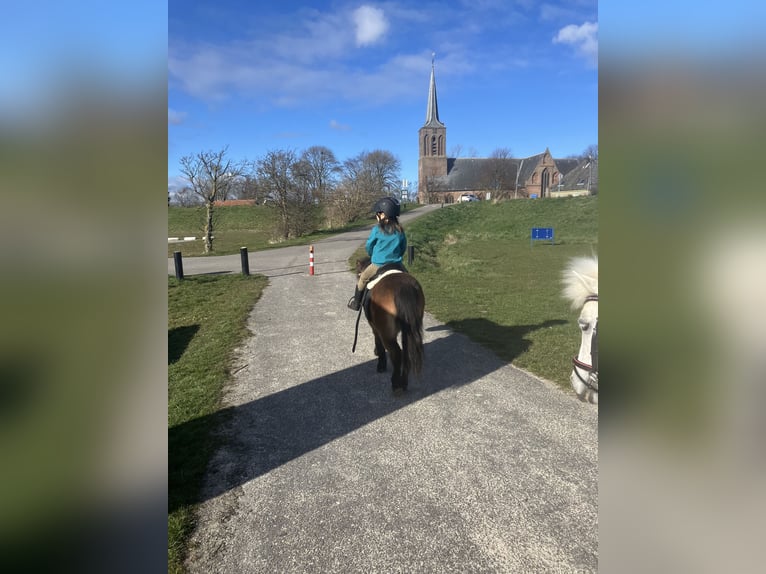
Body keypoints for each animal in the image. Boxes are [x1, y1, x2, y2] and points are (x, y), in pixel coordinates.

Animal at [354, 258, 426, 394]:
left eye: (359, 275)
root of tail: (403, 288)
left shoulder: (375, 327)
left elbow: (378, 342)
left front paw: (380, 361)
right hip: (408, 330)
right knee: (406, 352)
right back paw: (403, 383)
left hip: (387, 334)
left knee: (397, 353)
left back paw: (396, 383)